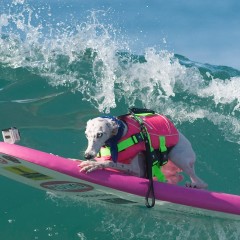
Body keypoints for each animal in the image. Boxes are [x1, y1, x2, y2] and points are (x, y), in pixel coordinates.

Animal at [79, 116, 207, 189]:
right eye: (86, 134)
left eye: (99, 134)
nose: (87, 155)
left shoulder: (137, 170)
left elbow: (110, 163)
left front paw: (93, 164)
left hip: (178, 157)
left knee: (201, 182)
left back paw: (195, 184)